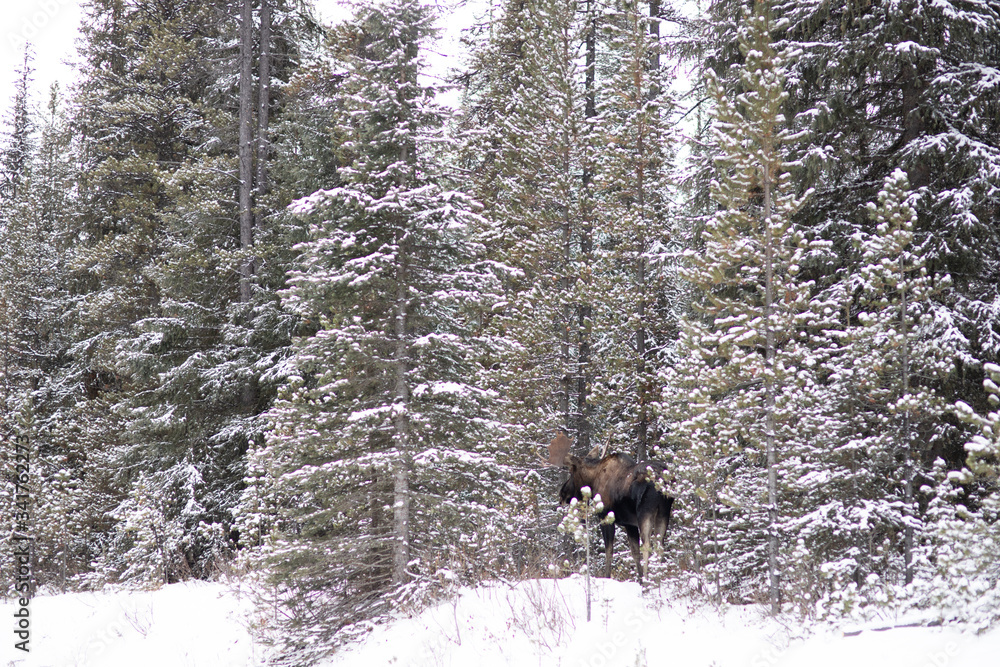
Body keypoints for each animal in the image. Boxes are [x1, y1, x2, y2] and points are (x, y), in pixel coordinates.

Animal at [552, 434, 676, 584]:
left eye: (571, 472)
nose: (562, 494)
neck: (593, 481)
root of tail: (663, 479)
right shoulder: (629, 524)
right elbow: (634, 552)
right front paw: (639, 580)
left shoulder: (606, 517)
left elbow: (609, 551)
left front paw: (607, 577)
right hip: (663, 511)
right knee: (660, 546)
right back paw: (658, 579)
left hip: (645, 511)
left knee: (647, 545)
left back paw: (649, 580)